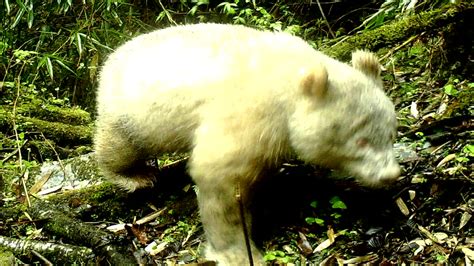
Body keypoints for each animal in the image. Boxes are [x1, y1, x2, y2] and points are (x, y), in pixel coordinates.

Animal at [95, 23, 400, 264]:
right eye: (360, 140)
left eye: (391, 133)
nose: (390, 175)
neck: (291, 77)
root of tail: (111, 58)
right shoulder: (251, 113)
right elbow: (219, 176)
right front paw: (237, 252)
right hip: (130, 111)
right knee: (119, 146)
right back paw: (135, 176)